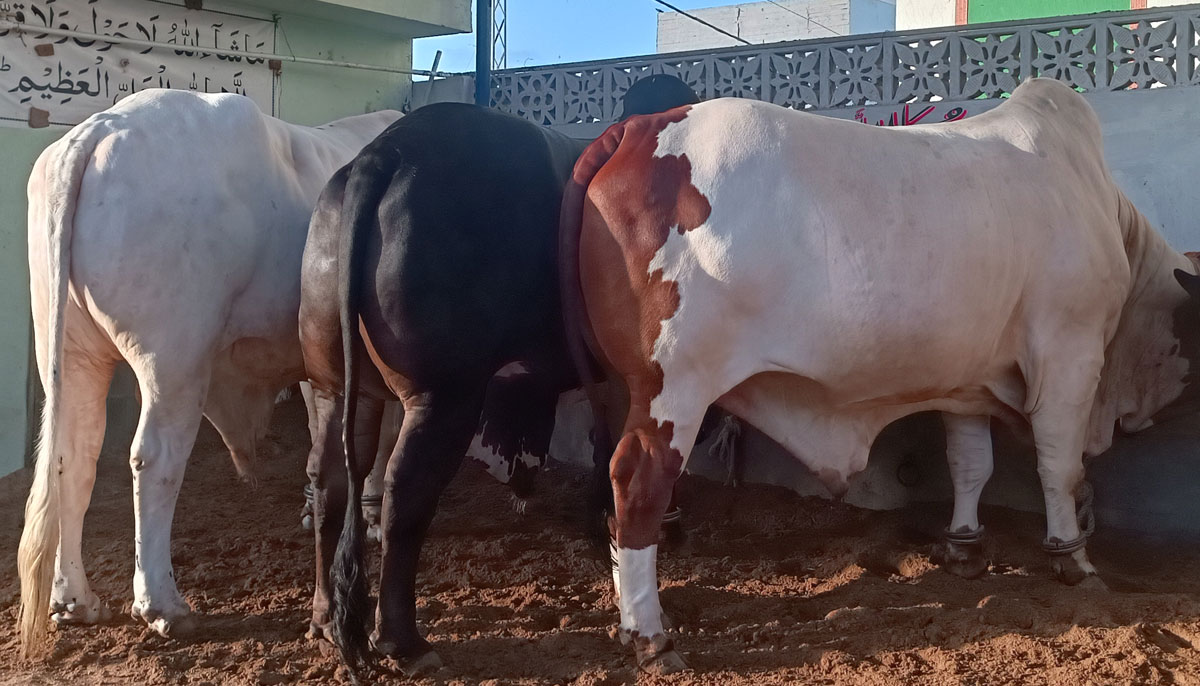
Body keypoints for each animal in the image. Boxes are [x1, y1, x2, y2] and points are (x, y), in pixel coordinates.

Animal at [18, 88, 400, 657]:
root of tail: (98, 129)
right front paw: (371, 513)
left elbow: (320, 435)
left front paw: (315, 506)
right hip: (173, 356)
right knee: (153, 459)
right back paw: (163, 606)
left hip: (70, 351)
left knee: (73, 459)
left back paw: (75, 599)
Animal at [297, 76, 720, 671]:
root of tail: (385, 152)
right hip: (444, 396)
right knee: (407, 491)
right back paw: (404, 641)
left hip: (336, 387)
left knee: (330, 480)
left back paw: (322, 619)